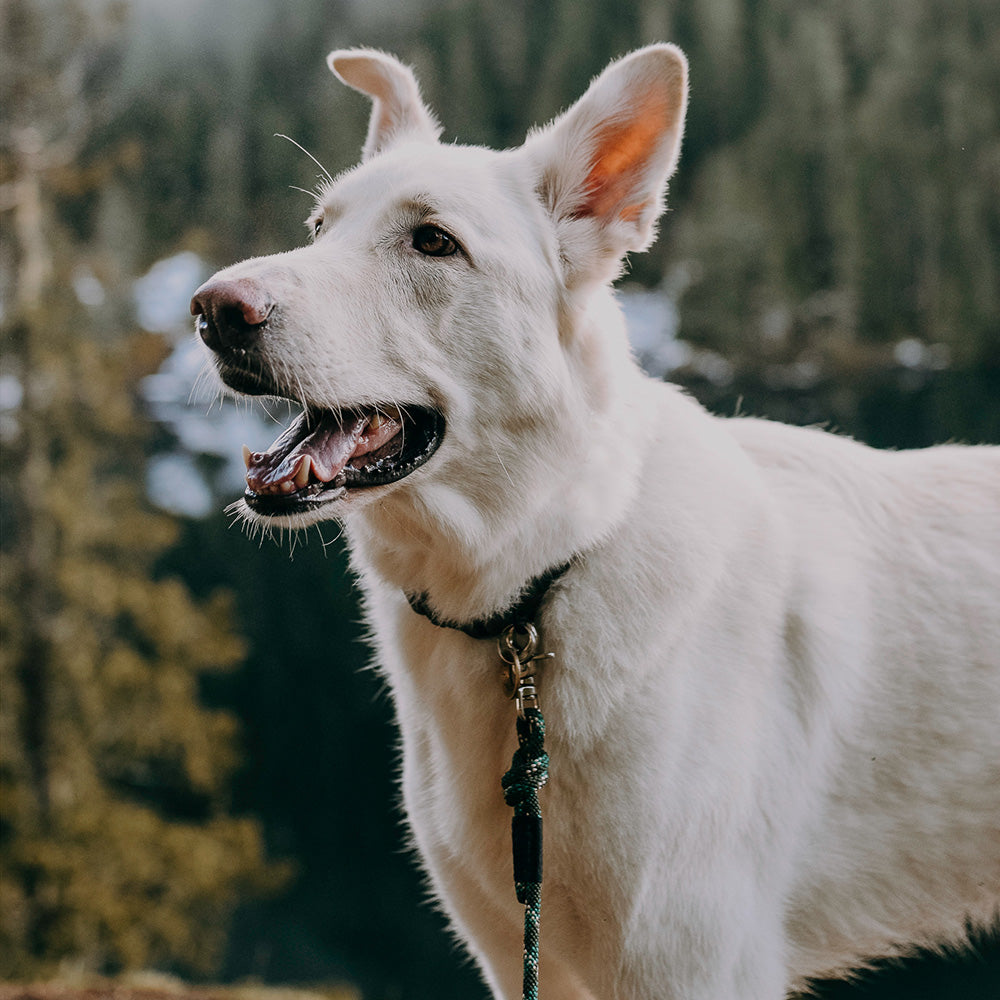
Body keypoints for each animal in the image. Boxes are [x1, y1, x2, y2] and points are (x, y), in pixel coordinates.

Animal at [193, 43, 1000, 996]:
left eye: (433, 241)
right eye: (320, 228)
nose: (212, 309)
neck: (544, 576)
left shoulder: (693, 966)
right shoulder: (517, 956)